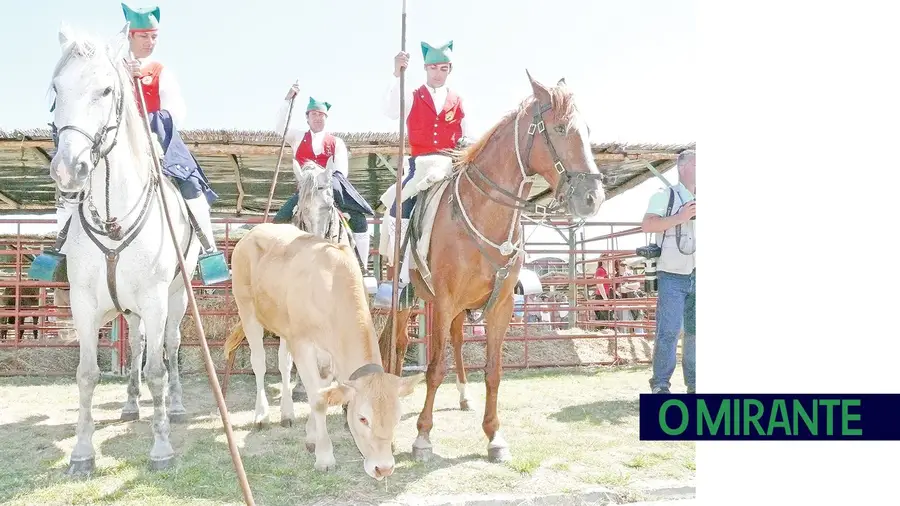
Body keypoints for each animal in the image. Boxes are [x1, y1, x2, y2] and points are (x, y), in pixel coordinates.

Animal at [49, 23, 200, 474]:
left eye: (104, 90)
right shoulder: (83, 303)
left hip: (175, 298)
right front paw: (82, 453)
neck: (114, 220)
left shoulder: (154, 298)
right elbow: (86, 374)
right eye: (56, 89)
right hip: (127, 309)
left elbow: (157, 371)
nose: (69, 168)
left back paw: (176, 407)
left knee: (169, 347)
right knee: (134, 348)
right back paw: (132, 405)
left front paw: (162, 448)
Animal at [380, 71, 604, 462]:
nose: (593, 198)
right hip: (405, 296)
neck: (483, 210)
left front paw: (494, 435)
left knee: (452, 340)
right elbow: (434, 368)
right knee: (396, 340)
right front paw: (422, 437)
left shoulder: (499, 305)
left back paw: (463, 396)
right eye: (560, 128)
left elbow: (494, 370)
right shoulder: (444, 301)